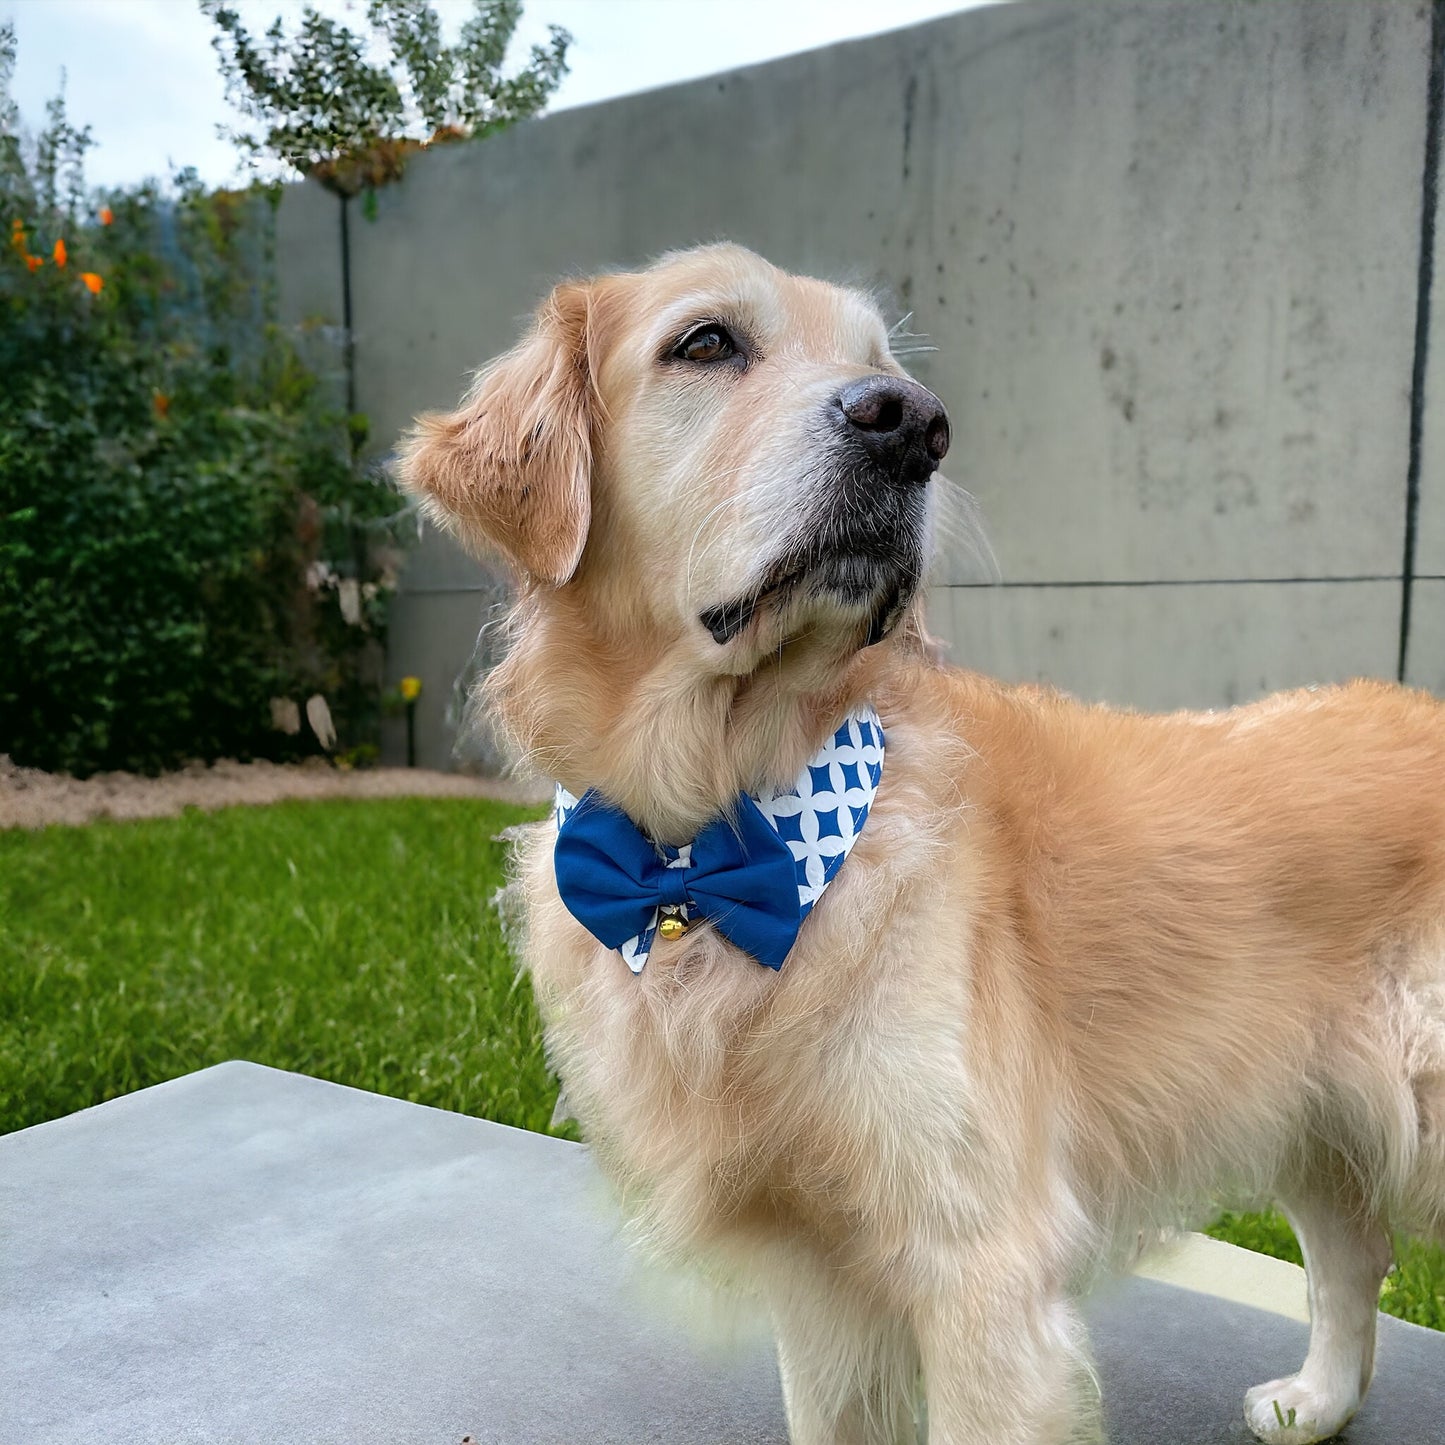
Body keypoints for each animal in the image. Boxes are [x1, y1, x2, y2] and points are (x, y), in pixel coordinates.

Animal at [401, 248, 1445, 1445]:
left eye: (882, 364)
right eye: (704, 342)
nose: (913, 426)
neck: (716, 843)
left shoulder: (980, 1269)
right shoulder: (820, 1276)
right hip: (1322, 1112)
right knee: (1350, 1250)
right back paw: (1315, 1401)